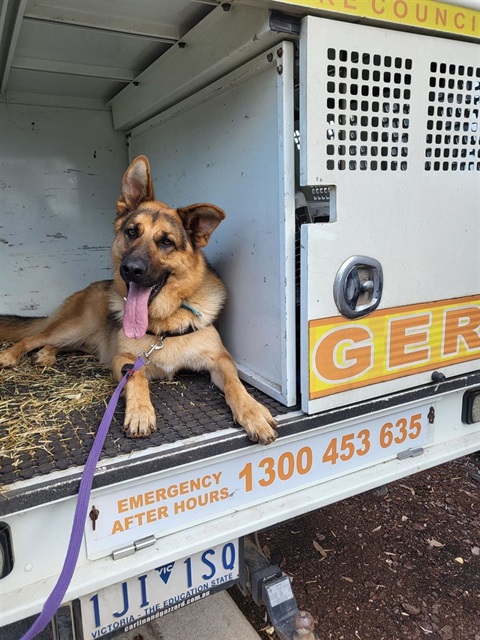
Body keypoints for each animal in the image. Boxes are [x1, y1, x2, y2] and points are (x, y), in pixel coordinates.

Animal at [0, 156, 278, 444]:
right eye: (132, 232)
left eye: (166, 242)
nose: (131, 269)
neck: (165, 323)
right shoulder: (124, 360)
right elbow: (137, 378)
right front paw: (141, 412)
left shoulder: (221, 360)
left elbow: (235, 385)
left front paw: (252, 412)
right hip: (75, 327)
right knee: (34, 337)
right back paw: (11, 354)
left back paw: (46, 354)